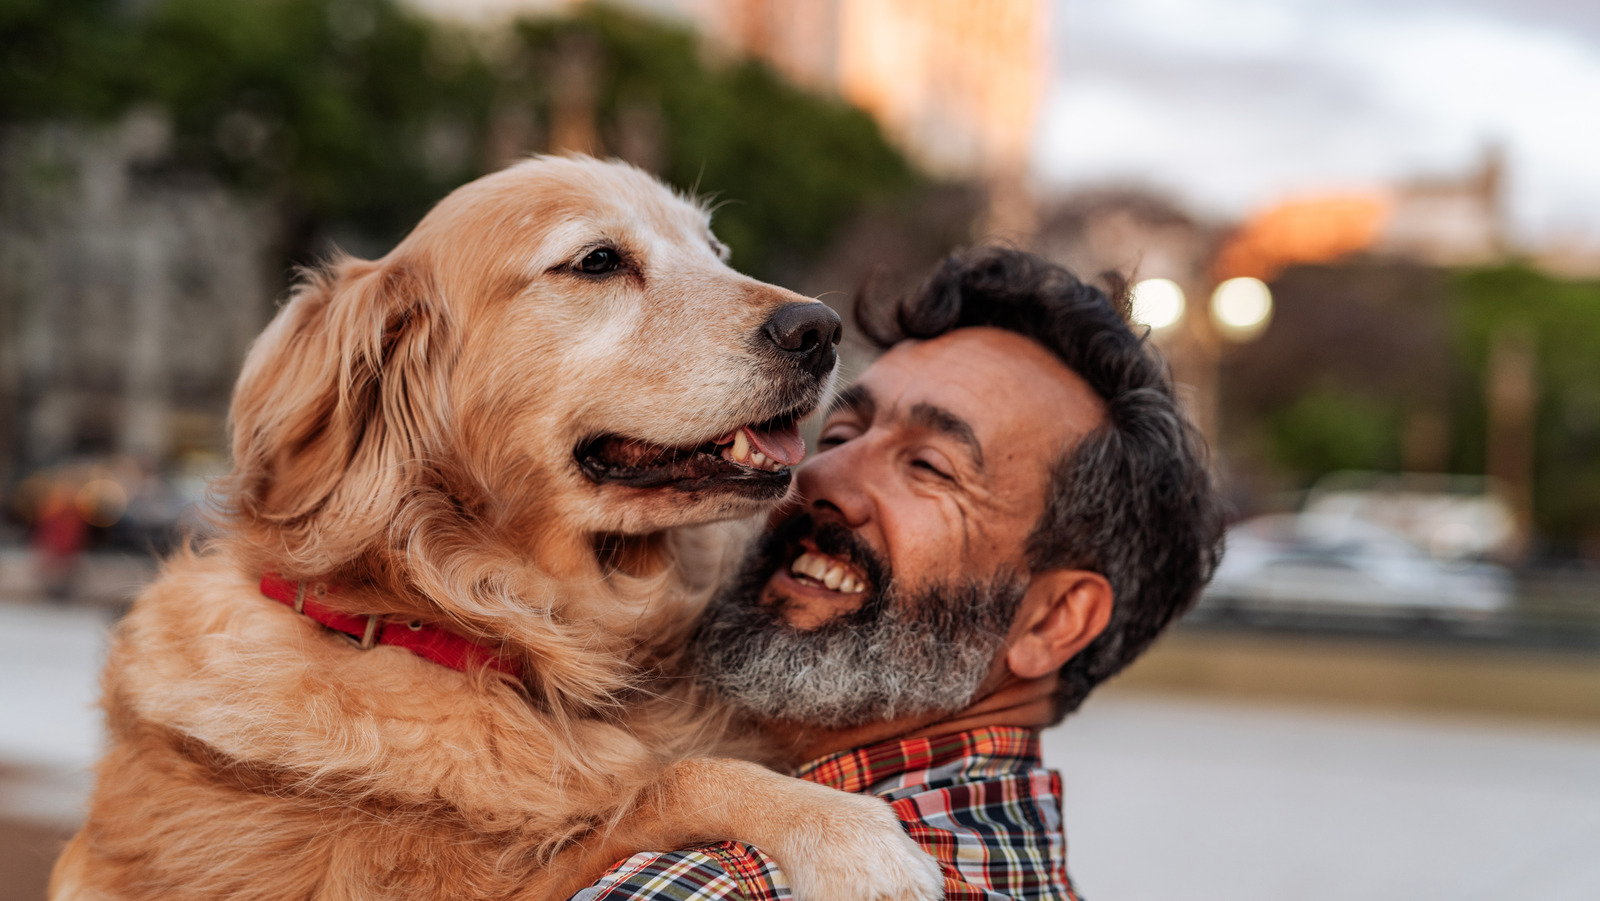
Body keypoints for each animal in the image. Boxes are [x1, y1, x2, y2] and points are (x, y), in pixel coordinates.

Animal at [56, 156, 940, 901]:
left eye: (714, 249)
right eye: (596, 261)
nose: (819, 328)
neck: (462, 625)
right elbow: (674, 781)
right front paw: (855, 836)